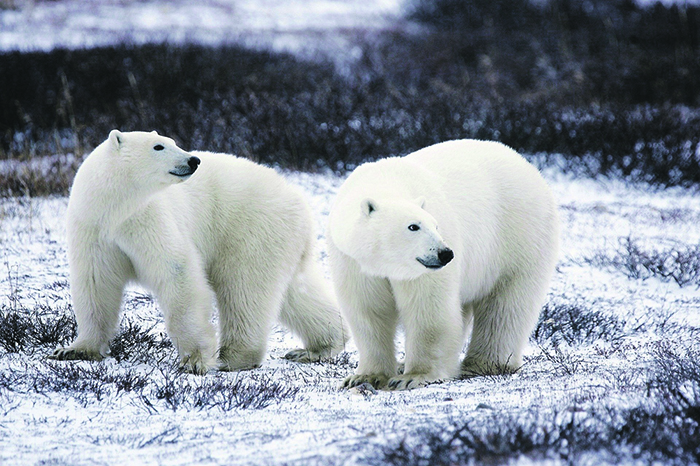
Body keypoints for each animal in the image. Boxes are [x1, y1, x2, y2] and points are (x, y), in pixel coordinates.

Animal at [49, 129, 348, 374]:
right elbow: (95, 283)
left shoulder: (148, 219)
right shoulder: (93, 229)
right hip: (280, 239)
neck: (115, 209)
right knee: (295, 292)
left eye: (173, 141)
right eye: (159, 146)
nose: (193, 160)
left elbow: (177, 272)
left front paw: (195, 360)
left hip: (251, 228)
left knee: (244, 288)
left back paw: (233, 357)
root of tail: (299, 199)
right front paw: (74, 350)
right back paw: (319, 346)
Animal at [328, 138, 556, 390]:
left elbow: (428, 309)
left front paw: (413, 376)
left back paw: (483, 364)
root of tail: (527, 165)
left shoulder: (423, 270)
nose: (445, 254)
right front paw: (365, 376)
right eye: (413, 226)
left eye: (435, 225)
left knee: (506, 305)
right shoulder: (353, 261)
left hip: (518, 236)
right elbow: (368, 311)